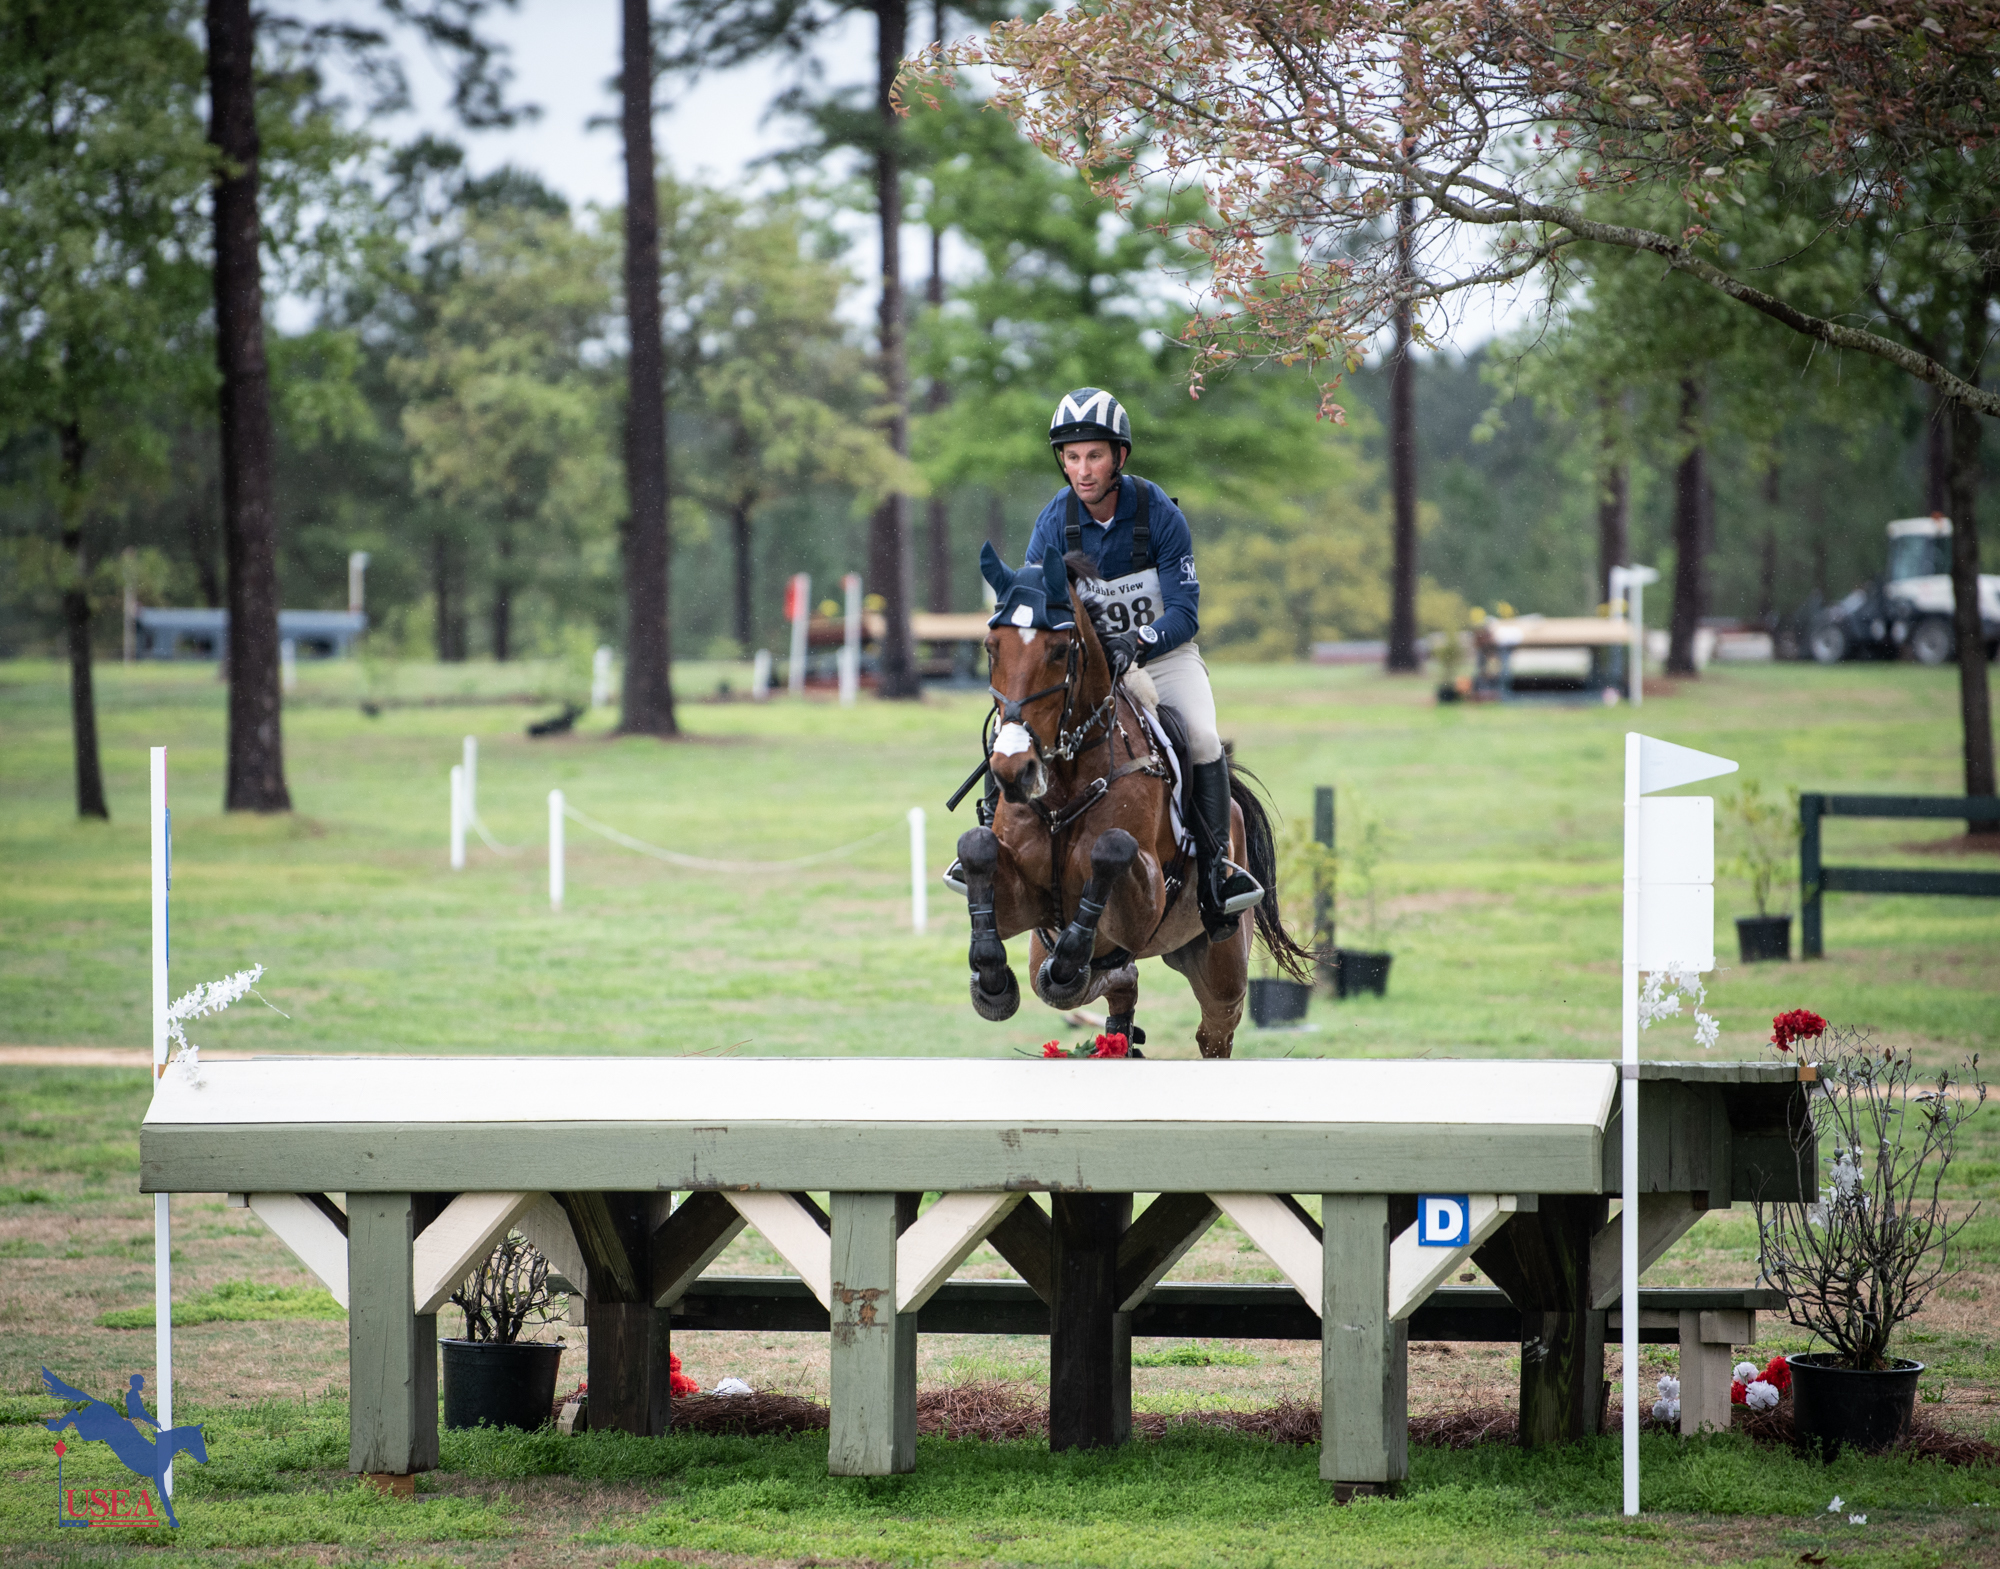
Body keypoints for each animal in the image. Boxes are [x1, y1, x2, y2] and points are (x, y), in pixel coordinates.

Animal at [956, 548, 1312, 1056]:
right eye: (992, 647)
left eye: (1060, 651)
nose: (1013, 770)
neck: (1066, 782)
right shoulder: (1024, 908)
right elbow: (977, 846)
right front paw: (991, 979)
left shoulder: (1143, 904)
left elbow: (1112, 847)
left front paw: (1066, 957)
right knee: (1103, 986)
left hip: (1221, 966)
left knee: (1213, 1031)